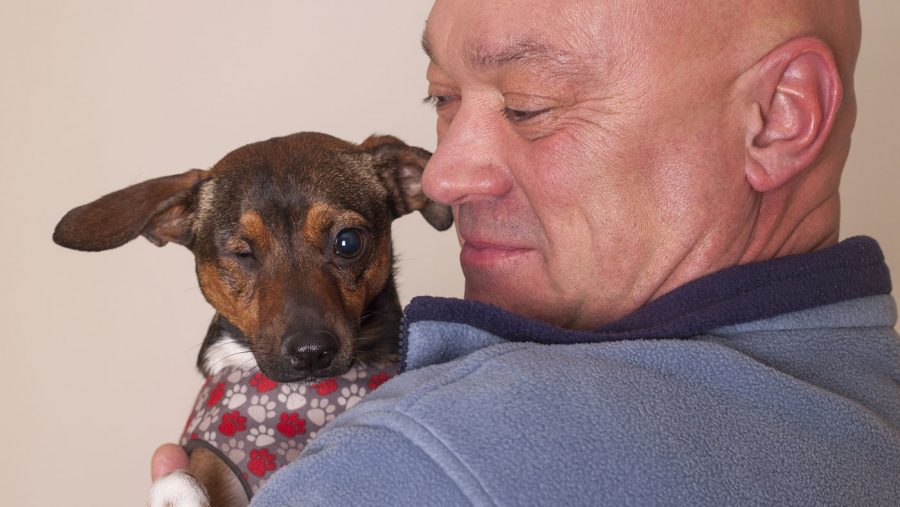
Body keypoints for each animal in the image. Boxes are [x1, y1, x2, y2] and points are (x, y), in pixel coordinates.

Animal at [52, 132, 454, 507]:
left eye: (348, 242)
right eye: (242, 253)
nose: (311, 351)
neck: (297, 404)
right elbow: (179, 477)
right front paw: (177, 493)